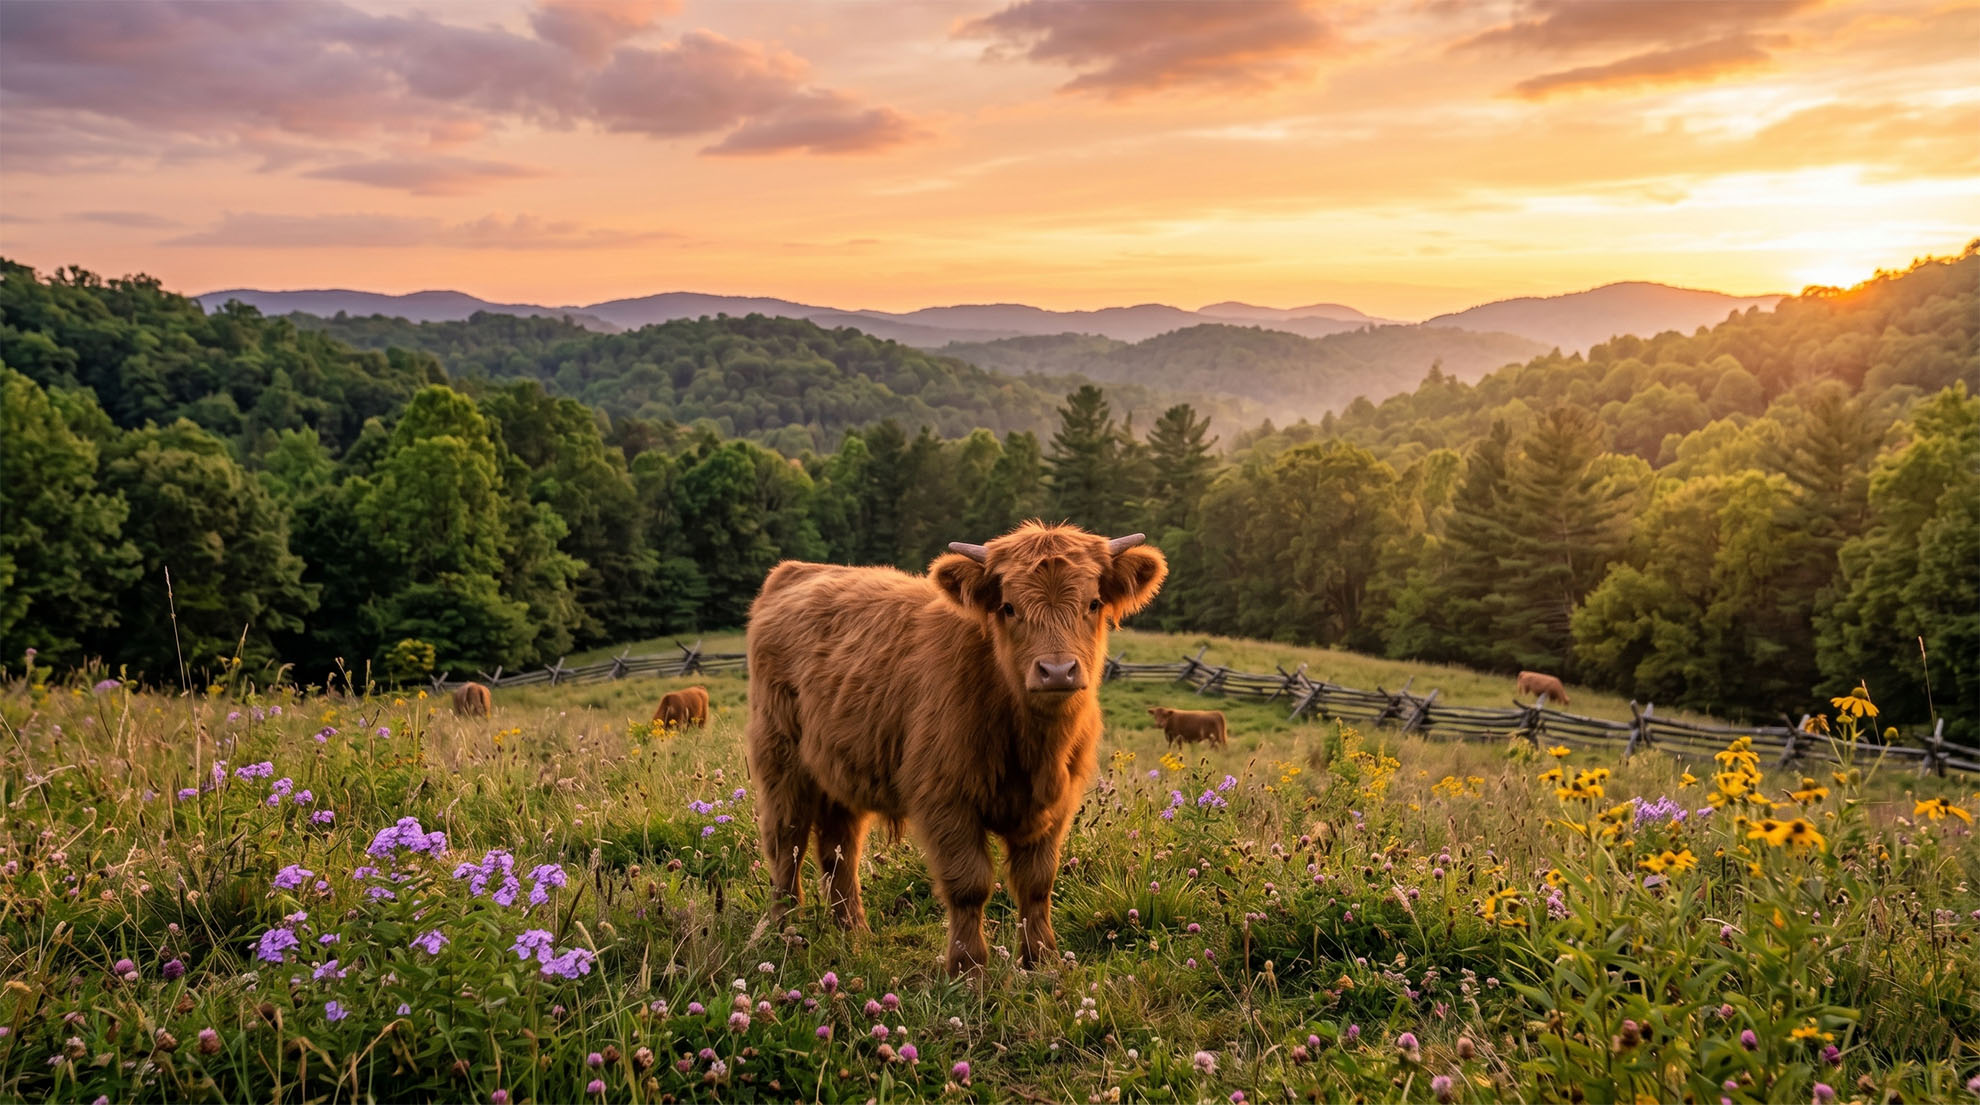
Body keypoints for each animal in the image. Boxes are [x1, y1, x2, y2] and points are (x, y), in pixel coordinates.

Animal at [745, 521, 1167, 976]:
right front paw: (968, 969)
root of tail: (797, 570)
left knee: (840, 850)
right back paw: (783, 932)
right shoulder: (945, 798)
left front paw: (1043, 961)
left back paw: (854, 934)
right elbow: (969, 884)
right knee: (786, 843)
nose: (1057, 671)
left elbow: (1037, 883)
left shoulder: (1055, 806)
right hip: (781, 760)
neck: (1032, 744)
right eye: (1009, 607)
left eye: (1093, 603)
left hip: (840, 770)